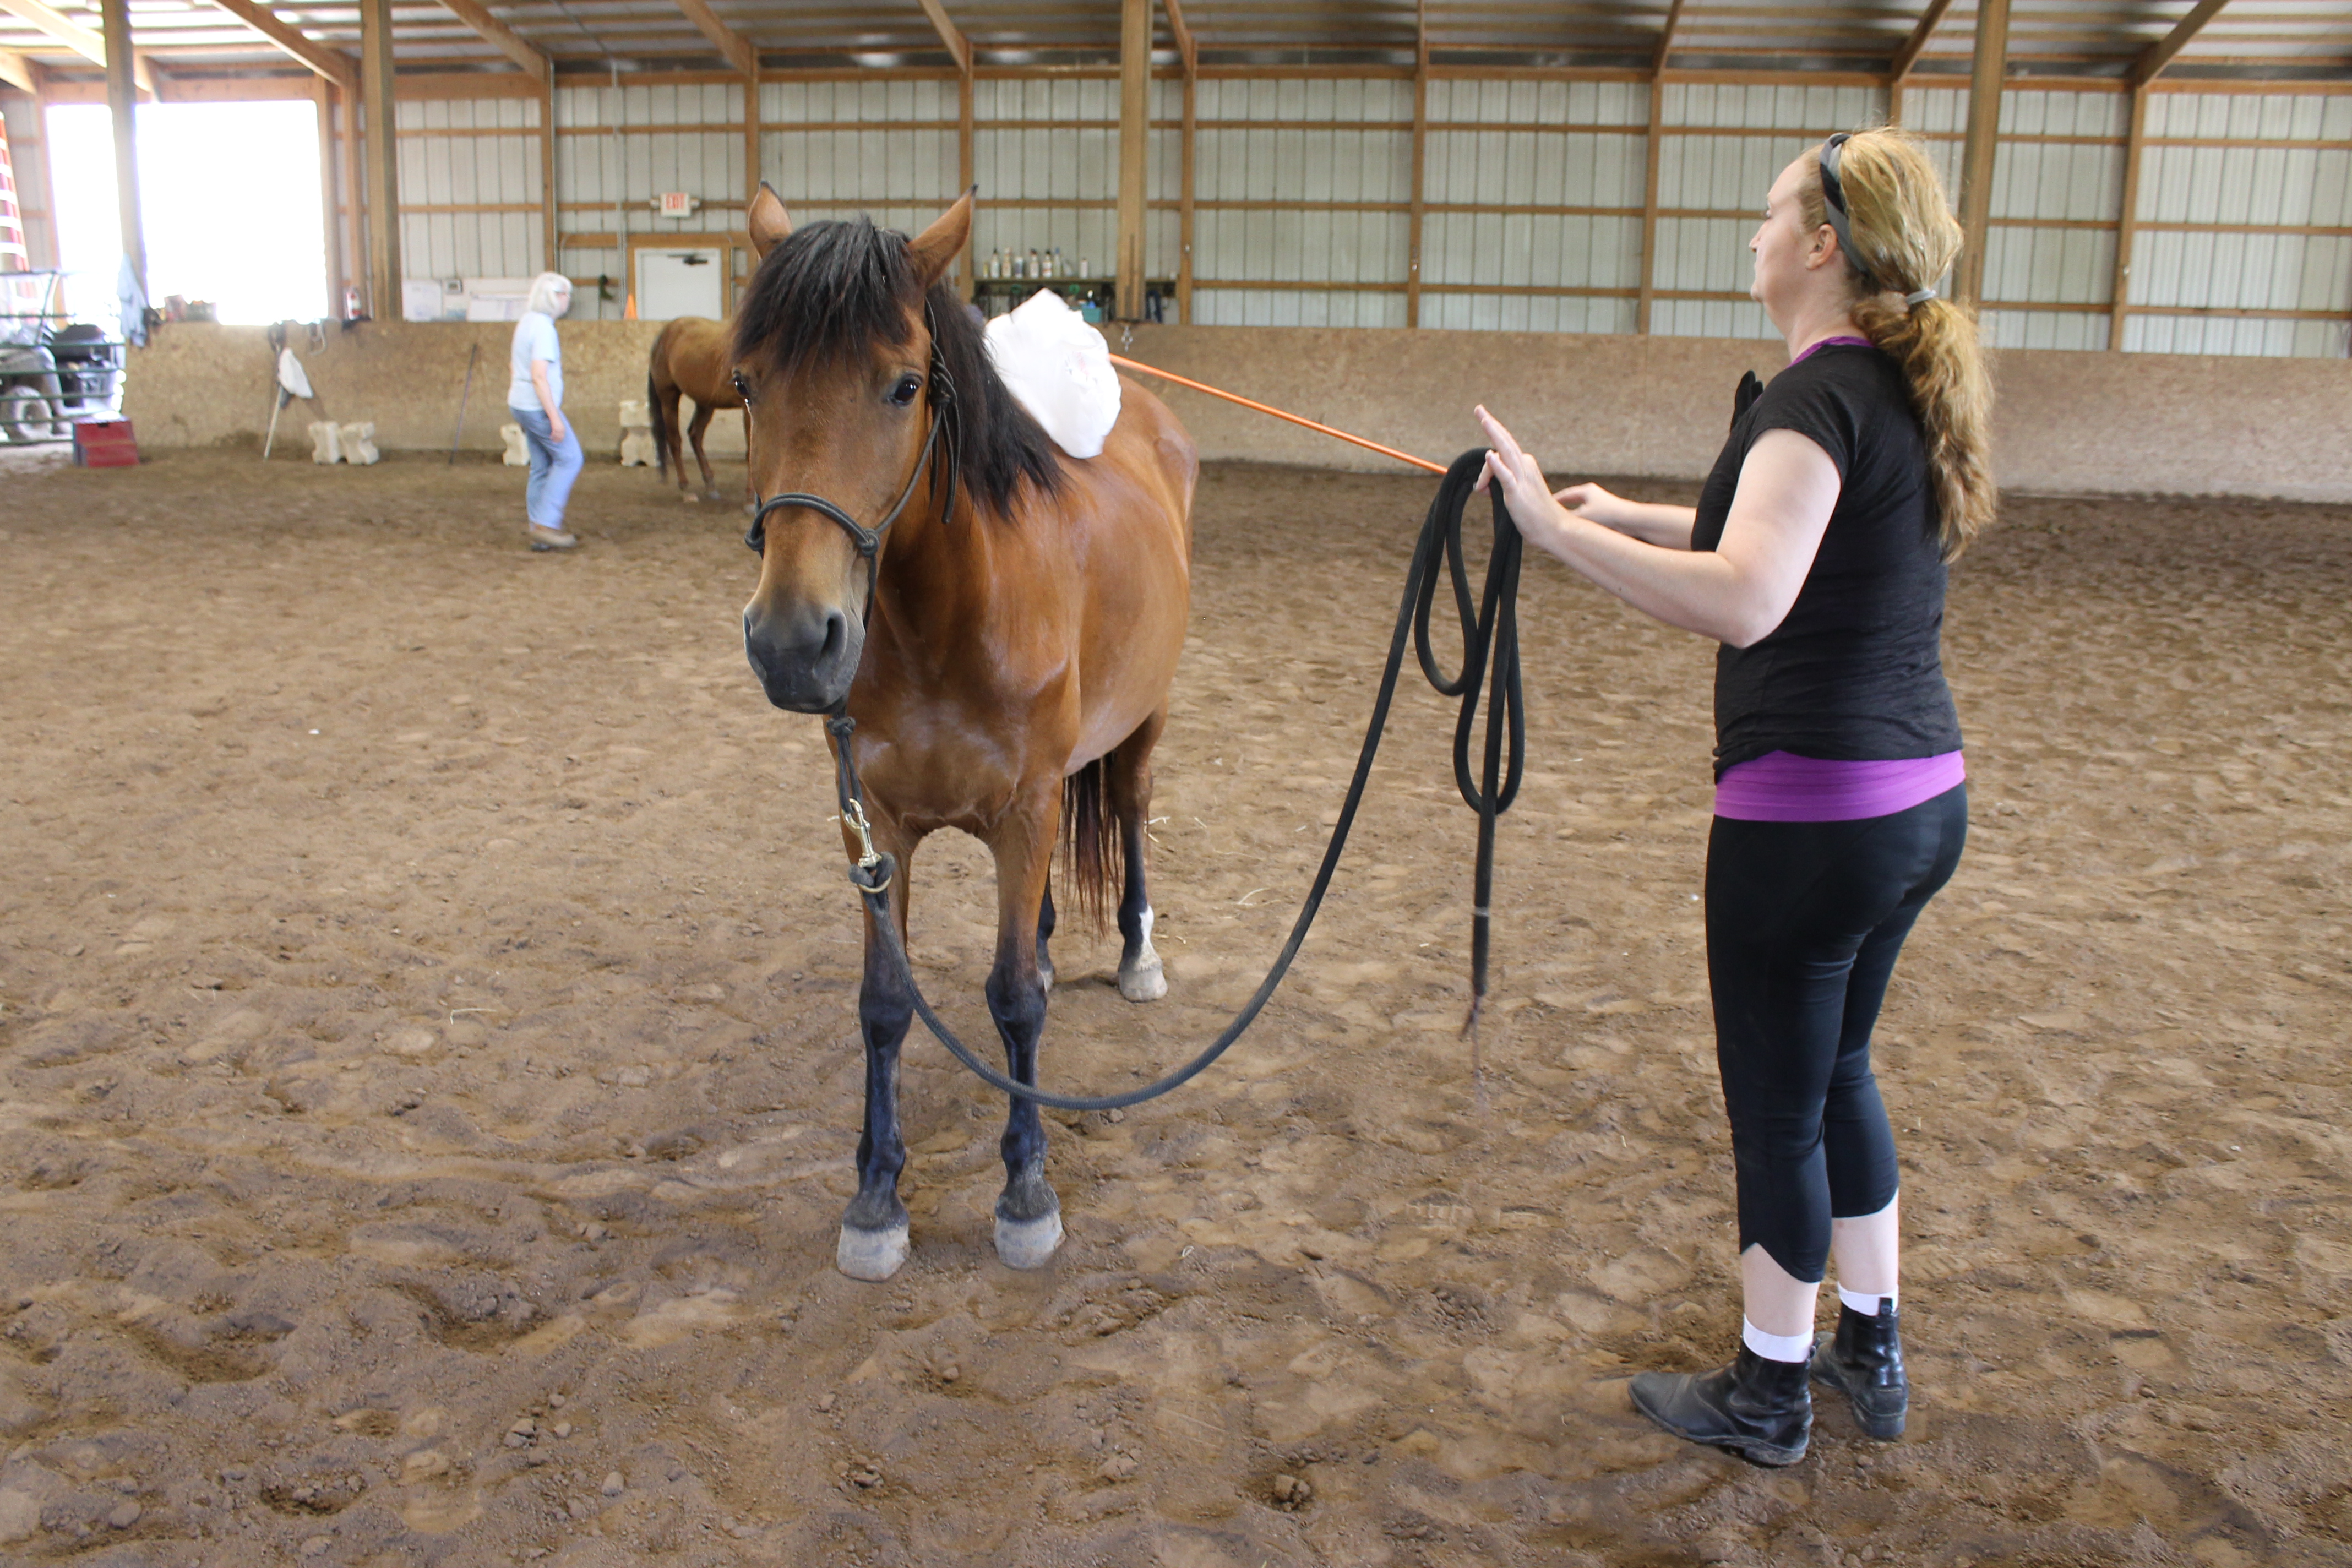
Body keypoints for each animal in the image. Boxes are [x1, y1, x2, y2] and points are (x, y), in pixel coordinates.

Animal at [644, 322, 743, 505]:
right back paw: (686, 490)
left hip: (705, 403)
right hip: (669, 397)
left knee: (695, 435)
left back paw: (710, 487)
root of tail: (664, 333)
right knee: (675, 440)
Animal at [729, 187, 1195, 1288]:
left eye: (904, 385)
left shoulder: (1023, 811)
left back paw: (1137, 955)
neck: (944, 621)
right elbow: (885, 1004)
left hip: (1145, 719)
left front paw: (1027, 1192)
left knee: (1130, 808)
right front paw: (874, 1197)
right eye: (746, 383)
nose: (792, 642)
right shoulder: (875, 823)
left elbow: (1013, 1000)